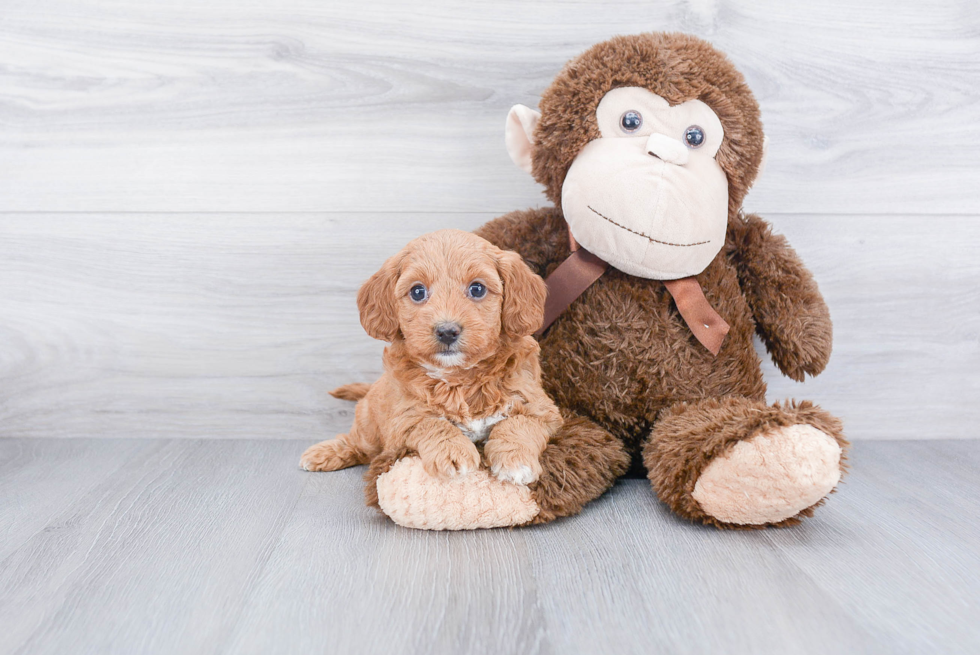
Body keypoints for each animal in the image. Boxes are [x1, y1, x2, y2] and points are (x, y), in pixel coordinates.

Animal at [298, 228, 560, 484]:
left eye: (477, 289)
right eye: (417, 292)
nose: (447, 331)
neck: (459, 378)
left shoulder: (540, 408)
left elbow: (519, 423)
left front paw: (515, 460)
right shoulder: (403, 417)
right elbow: (432, 423)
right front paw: (453, 452)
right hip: (369, 422)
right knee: (359, 443)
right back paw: (325, 453)